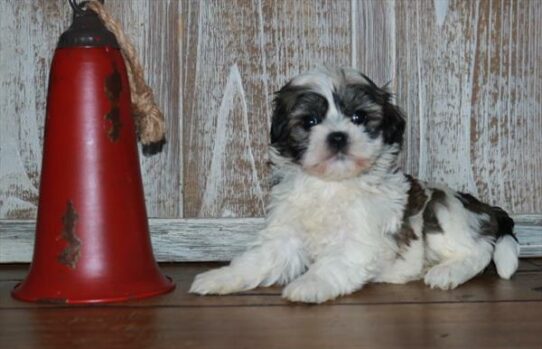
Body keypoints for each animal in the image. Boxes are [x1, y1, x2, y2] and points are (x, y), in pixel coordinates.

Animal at [189, 66, 520, 302]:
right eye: (310, 121)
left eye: (359, 117)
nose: (338, 136)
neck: (331, 184)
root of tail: (484, 207)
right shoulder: (285, 234)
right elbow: (260, 259)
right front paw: (220, 277)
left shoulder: (359, 238)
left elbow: (333, 262)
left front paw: (309, 284)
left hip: (443, 211)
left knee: (480, 249)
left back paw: (447, 271)